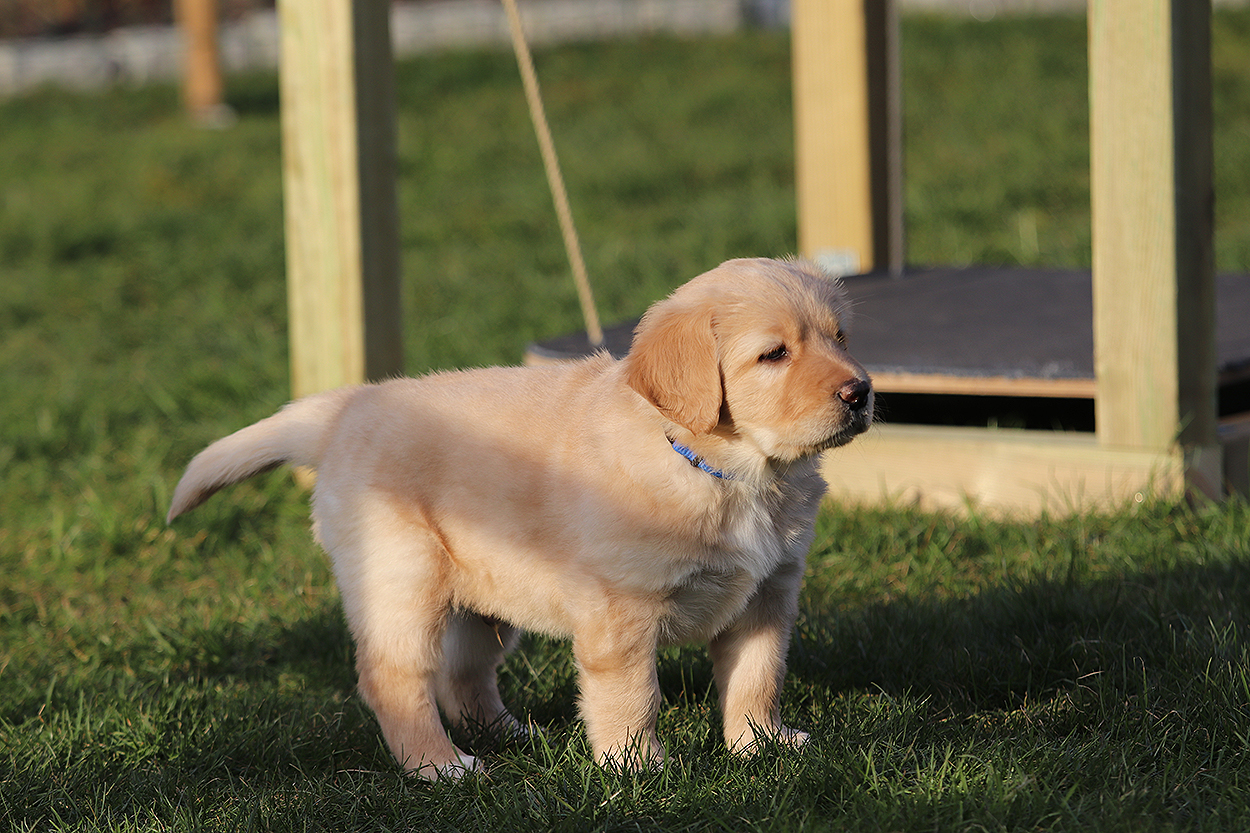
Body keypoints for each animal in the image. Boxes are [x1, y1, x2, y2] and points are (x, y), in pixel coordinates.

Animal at [167, 257, 874, 779]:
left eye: (840, 337)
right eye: (774, 354)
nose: (861, 391)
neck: (731, 470)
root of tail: (348, 408)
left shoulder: (768, 594)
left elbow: (759, 676)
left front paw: (762, 745)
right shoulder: (622, 609)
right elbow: (633, 696)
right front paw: (640, 770)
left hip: (487, 596)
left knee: (464, 674)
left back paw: (514, 735)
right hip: (403, 579)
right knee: (393, 680)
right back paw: (443, 767)